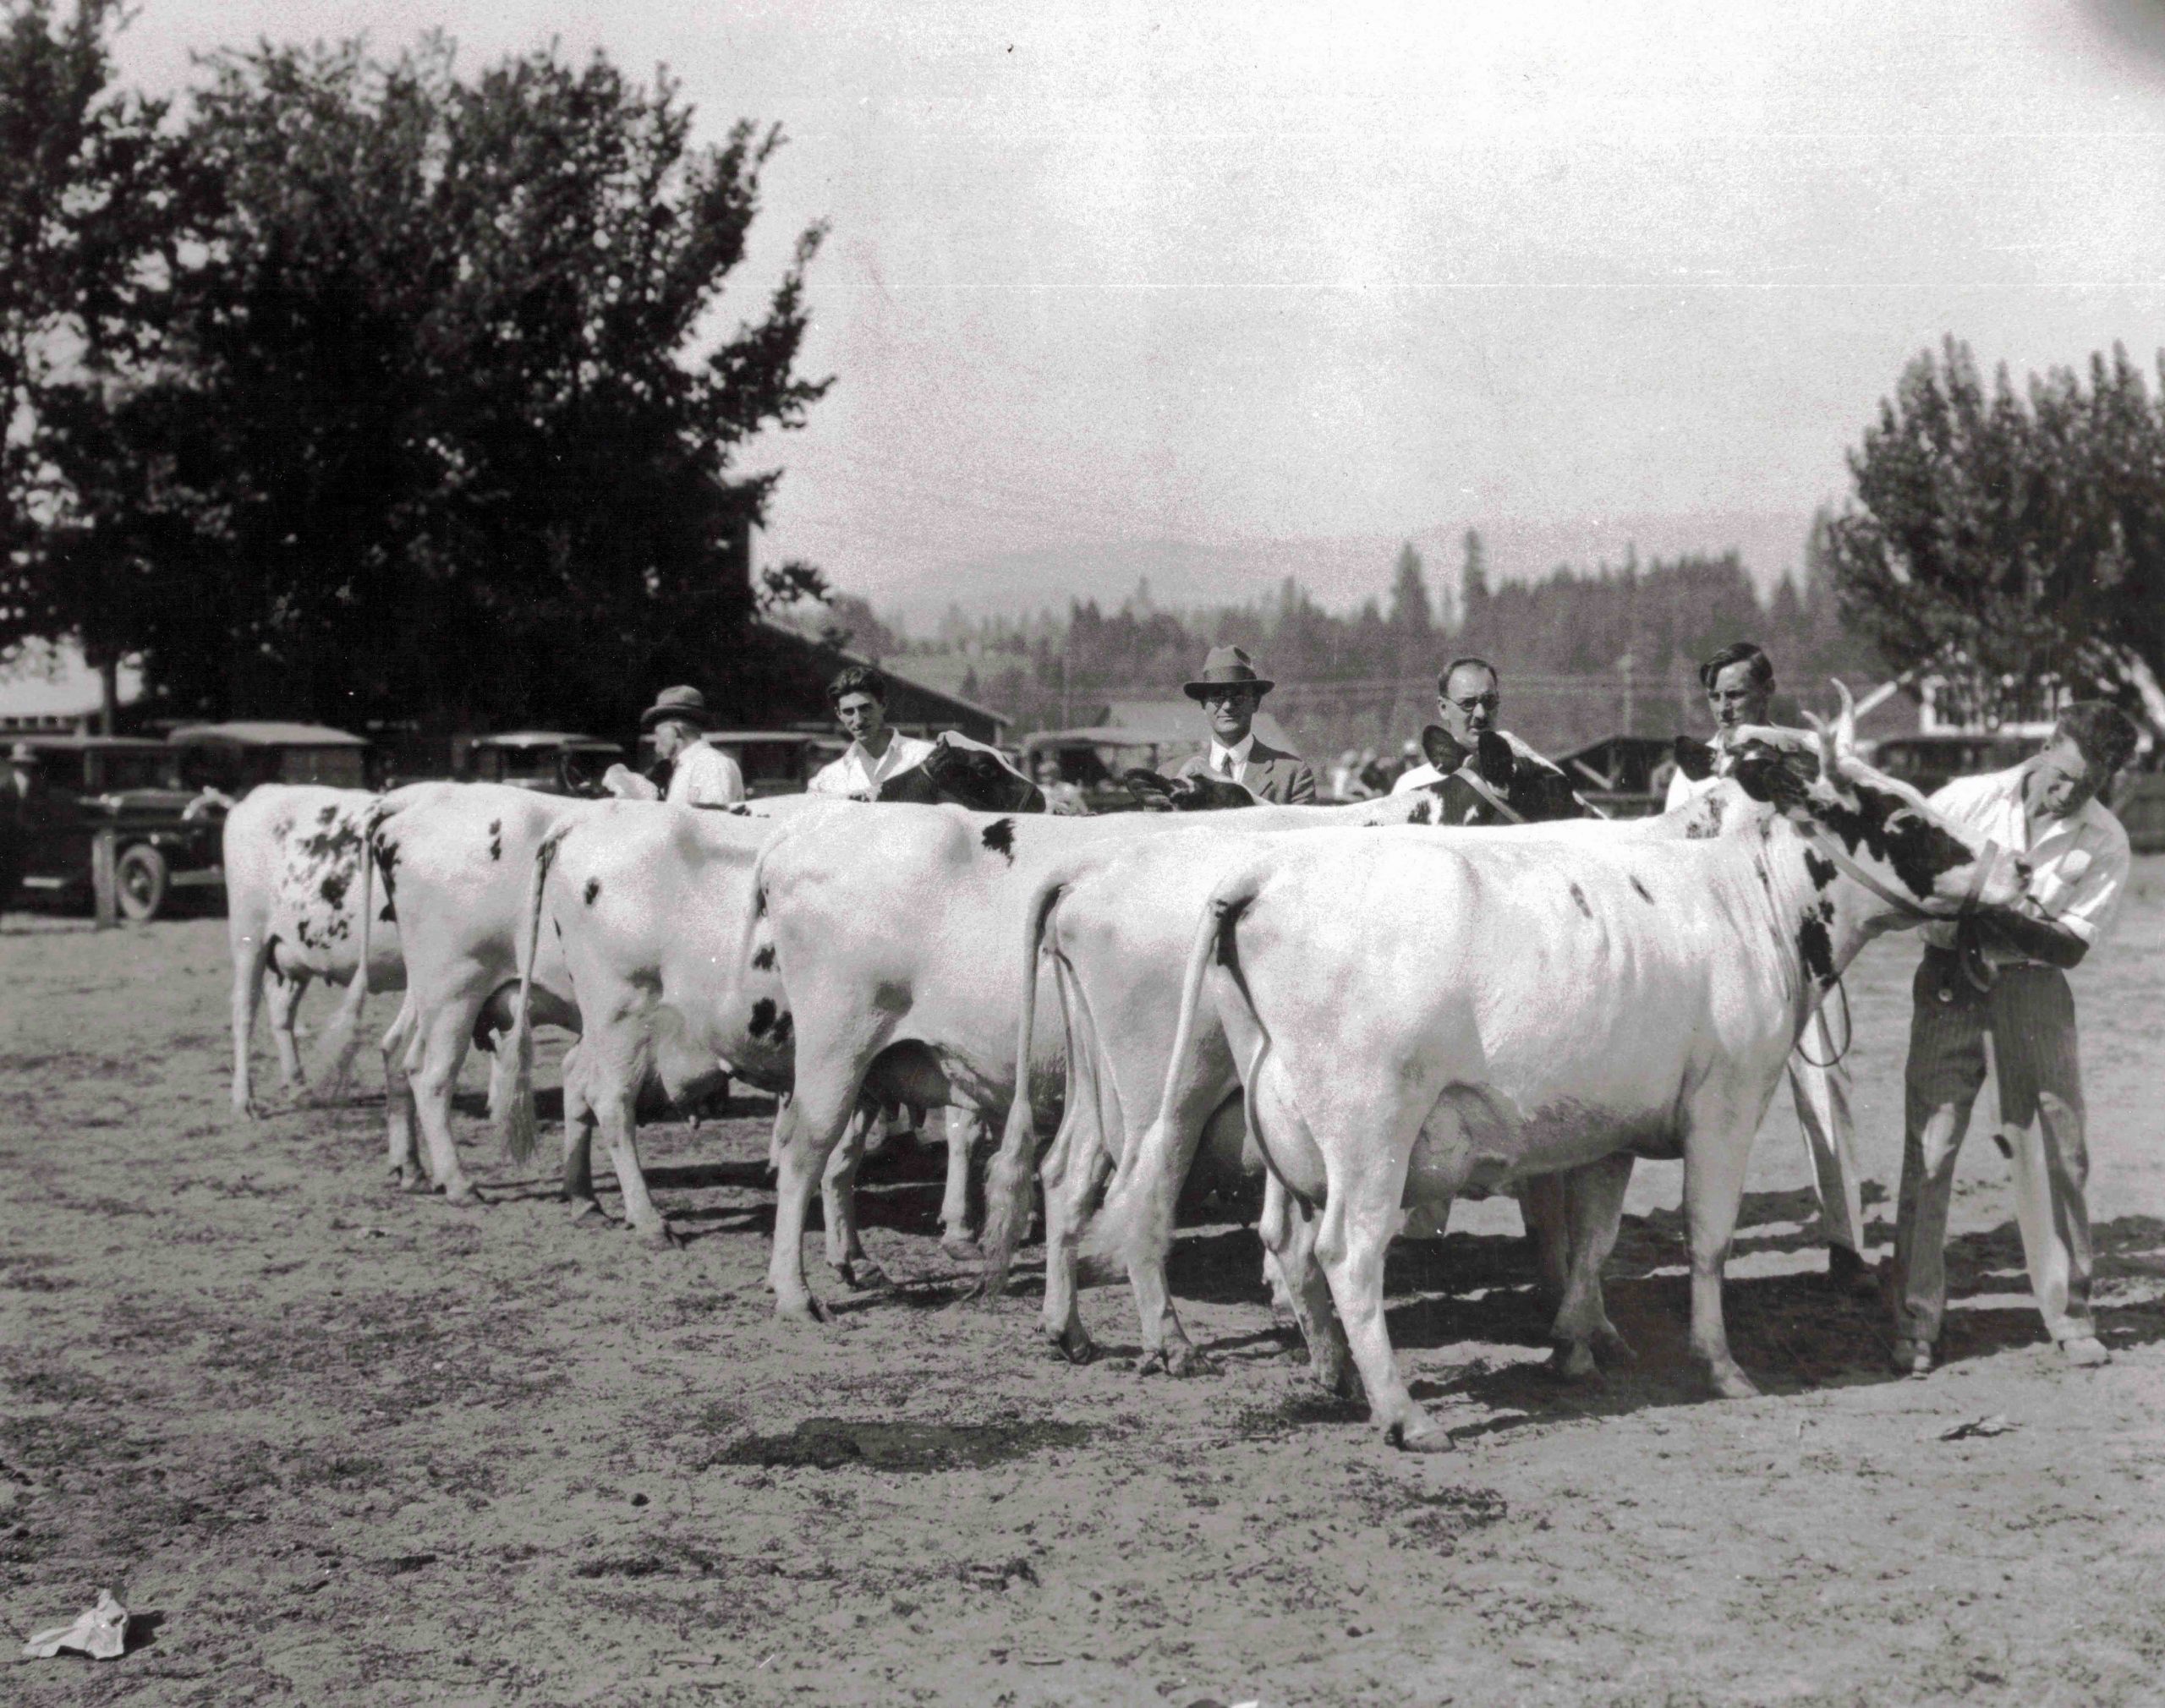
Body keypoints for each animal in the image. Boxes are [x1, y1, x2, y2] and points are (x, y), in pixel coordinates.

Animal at [1091, 688, 2017, 1446]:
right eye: (1899, 819)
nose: (2010, 867)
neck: (1738, 891)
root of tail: (1260, 875)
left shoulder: (1611, 1127)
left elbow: (1592, 1240)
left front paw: (1577, 1342)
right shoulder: (1724, 1105)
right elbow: (1708, 1239)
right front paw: (1720, 1365)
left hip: (1284, 1127)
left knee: (1288, 1244)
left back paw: (1337, 1375)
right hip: (1364, 1129)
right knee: (1345, 1254)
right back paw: (1402, 1413)